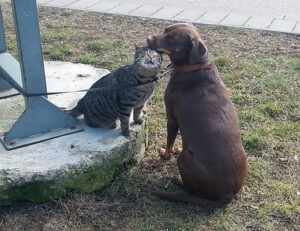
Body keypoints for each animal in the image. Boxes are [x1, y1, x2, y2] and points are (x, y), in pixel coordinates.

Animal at [146, 23, 247, 207]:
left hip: (184, 159)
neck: (193, 67)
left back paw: (177, 180)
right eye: (165, 29)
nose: (148, 38)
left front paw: (164, 154)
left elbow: (169, 144)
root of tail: (227, 196)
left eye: (172, 38)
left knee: (192, 190)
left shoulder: (172, 119)